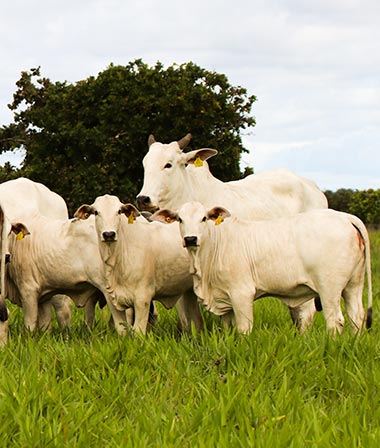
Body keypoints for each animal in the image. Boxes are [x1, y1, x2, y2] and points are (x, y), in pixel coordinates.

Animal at [75, 194, 205, 334]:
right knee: (196, 319)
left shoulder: (142, 299)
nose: (109, 234)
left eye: (119, 211)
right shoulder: (112, 301)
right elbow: (121, 329)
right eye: (96, 212)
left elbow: (138, 331)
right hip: (189, 291)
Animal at [137, 135, 330, 330]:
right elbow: (190, 321)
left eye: (168, 164)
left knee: (305, 312)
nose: (143, 199)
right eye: (145, 164)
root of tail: (313, 187)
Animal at [153, 203, 372, 336]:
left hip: (329, 288)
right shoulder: (224, 298)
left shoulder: (241, 293)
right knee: (356, 317)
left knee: (335, 320)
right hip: (354, 285)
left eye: (204, 218)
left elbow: (243, 328)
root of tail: (346, 217)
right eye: (179, 219)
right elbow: (228, 327)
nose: (190, 239)